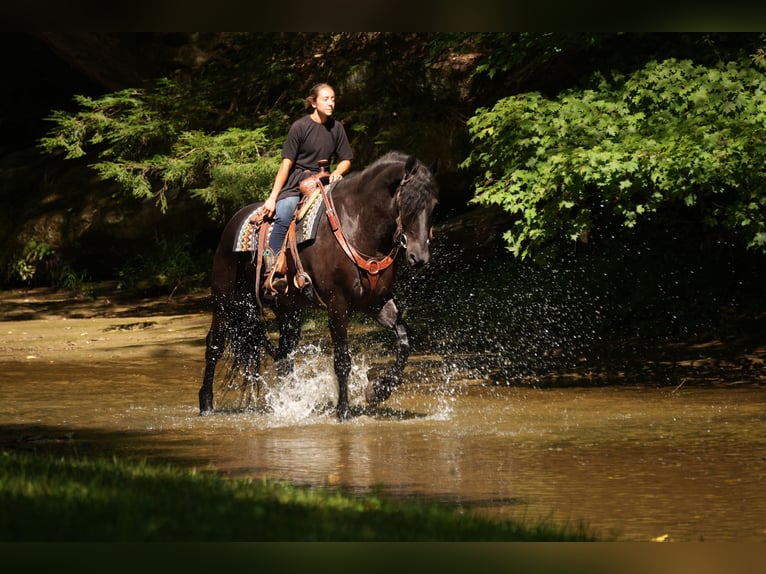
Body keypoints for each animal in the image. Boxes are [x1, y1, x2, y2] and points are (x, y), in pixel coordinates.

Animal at [198, 151, 439, 421]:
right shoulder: (337, 304)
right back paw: (206, 404)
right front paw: (343, 410)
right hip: (226, 302)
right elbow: (342, 360)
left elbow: (404, 341)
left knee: (285, 357)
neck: (358, 224)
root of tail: (232, 223)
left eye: (434, 204)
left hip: (288, 310)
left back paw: (289, 403)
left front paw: (378, 391)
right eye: (407, 201)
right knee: (214, 344)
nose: (419, 257)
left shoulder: (377, 302)